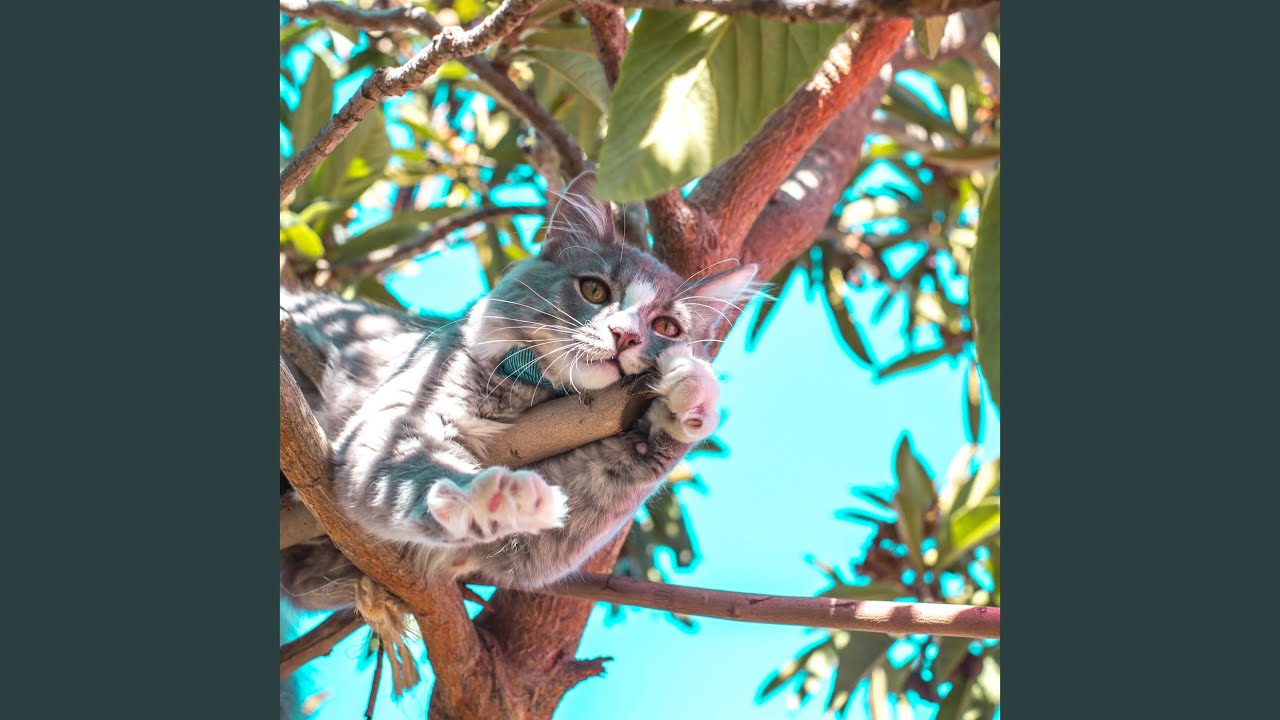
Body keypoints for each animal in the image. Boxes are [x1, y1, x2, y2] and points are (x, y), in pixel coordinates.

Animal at [280, 173, 759, 609]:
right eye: (594, 289)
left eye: (666, 327)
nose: (624, 335)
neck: (534, 395)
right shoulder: (397, 420)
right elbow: (426, 471)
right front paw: (495, 497)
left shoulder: (540, 543)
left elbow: (635, 463)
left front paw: (690, 393)